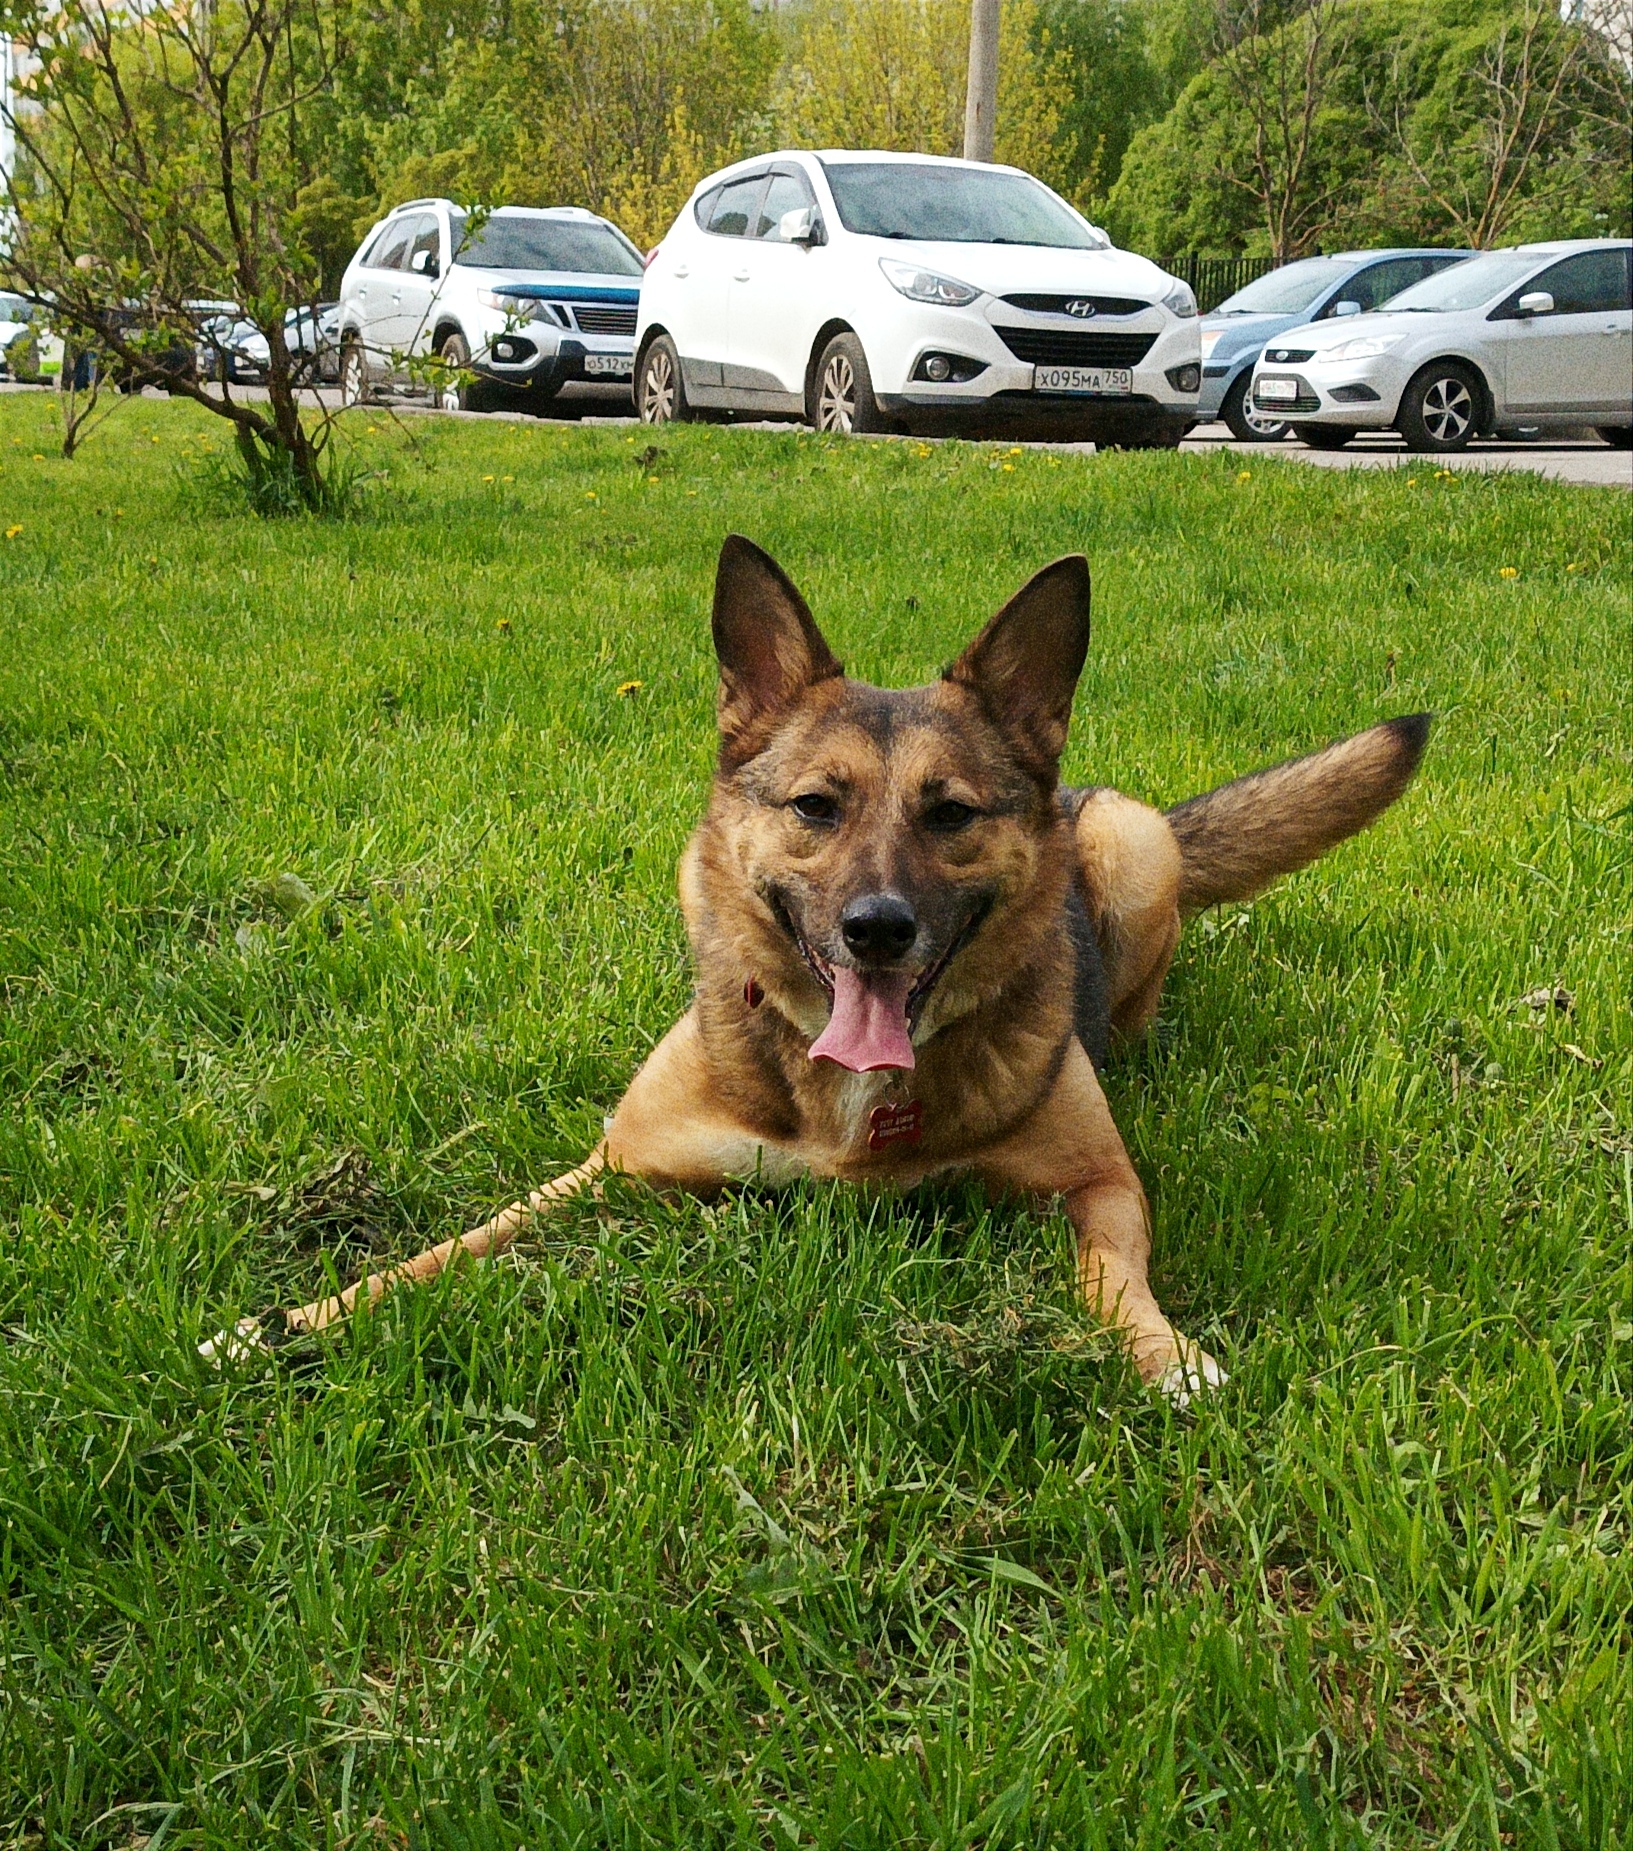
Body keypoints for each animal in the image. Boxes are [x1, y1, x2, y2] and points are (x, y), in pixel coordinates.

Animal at [206, 536, 1421, 1399]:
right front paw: (288, 1323)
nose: (877, 928)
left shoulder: (1099, 1184)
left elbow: (1115, 1274)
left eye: (950, 814)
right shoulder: (609, 1170)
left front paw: (1166, 1354)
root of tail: (1084, 793)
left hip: (1133, 841)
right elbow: (445, 1250)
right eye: (814, 807)